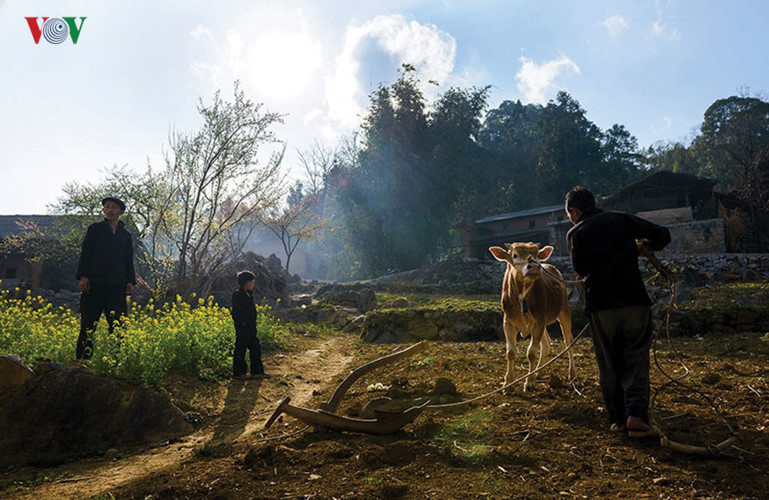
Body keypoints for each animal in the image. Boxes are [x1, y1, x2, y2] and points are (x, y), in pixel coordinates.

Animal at [492, 242, 576, 390]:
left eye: (537, 255)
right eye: (515, 255)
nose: (535, 266)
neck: (522, 298)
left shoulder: (539, 322)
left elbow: (531, 353)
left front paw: (529, 382)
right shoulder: (508, 322)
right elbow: (510, 353)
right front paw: (508, 383)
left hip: (564, 310)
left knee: (568, 341)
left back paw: (571, 373)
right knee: (546, 344)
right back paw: (538, 372)